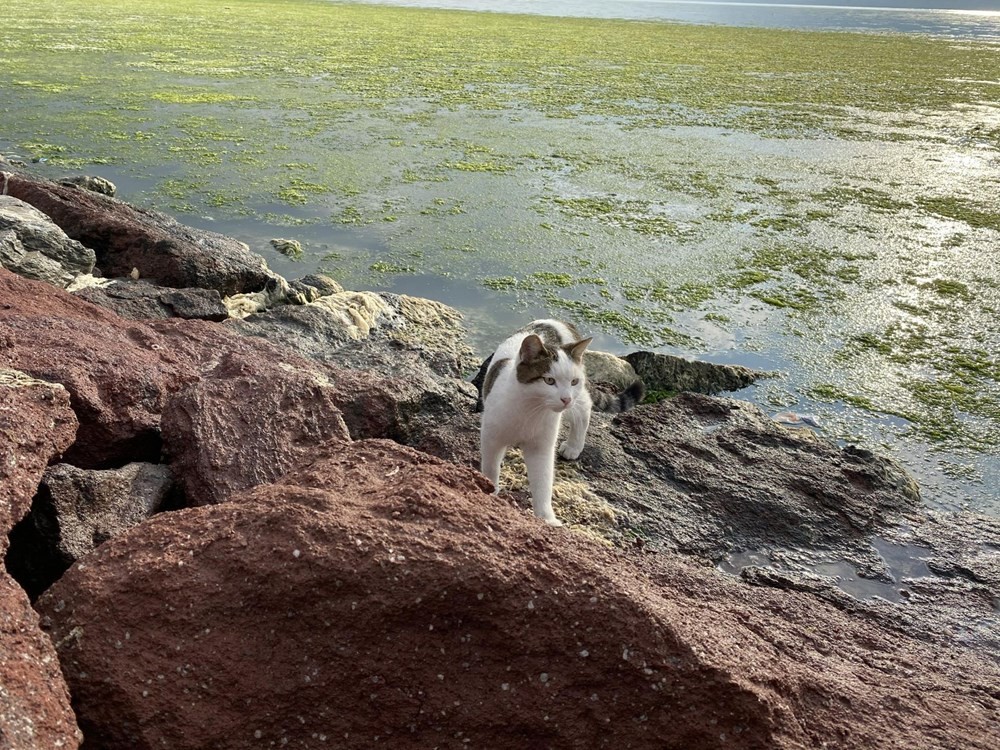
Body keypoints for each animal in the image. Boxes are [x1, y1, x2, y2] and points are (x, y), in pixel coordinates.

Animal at [478, 320, 648, 524]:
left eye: (573, 381)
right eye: (549, 381)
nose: (566, 399)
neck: (530, 411)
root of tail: (559, 322)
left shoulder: (541, 447)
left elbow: (543, 483)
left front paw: (547, 518)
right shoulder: (492, 437)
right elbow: (490, 468)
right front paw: (490, 490)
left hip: (576, 401)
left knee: (584, 409)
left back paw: (574, 446)